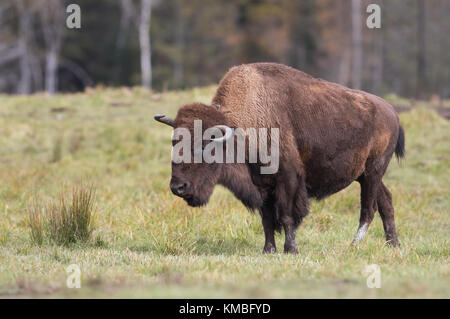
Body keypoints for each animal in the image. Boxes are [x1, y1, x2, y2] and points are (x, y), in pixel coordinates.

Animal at [154, 62, 404, 254]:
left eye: (204, 146)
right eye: (174, 142)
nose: (178, 187)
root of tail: (392, 112)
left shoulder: (288, 179)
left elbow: (285, 215)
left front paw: (291, 249)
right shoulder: (261, 185)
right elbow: (266, 219)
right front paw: (269, 249)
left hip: (372, 172)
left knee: (368, 209)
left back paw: (353, 245)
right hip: (365, 175)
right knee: (386, 202)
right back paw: (393, 245)